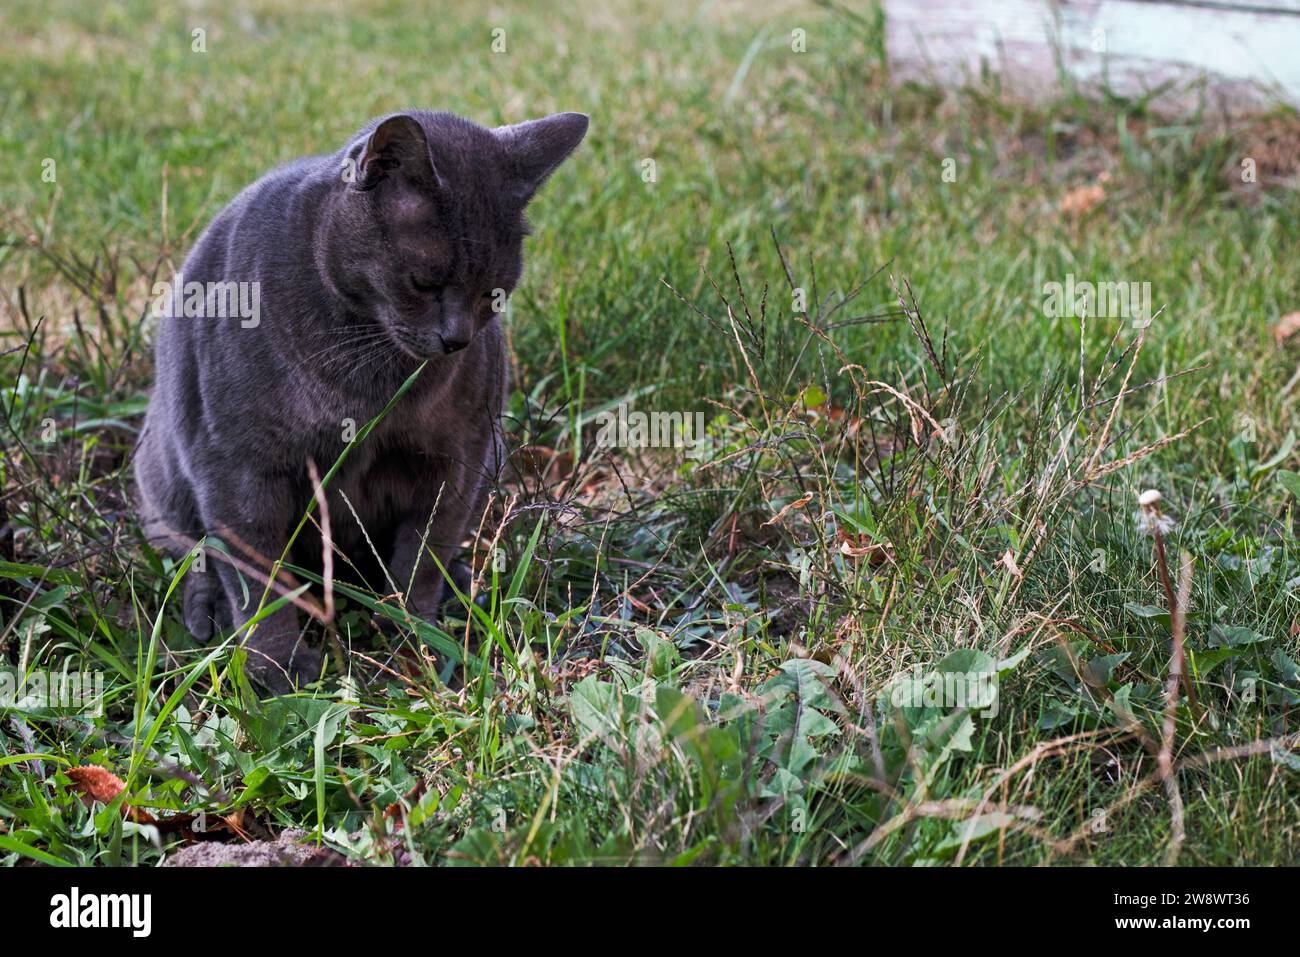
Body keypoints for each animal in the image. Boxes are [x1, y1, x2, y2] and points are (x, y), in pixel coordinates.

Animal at [131, 110, 590, 696]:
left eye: (495, 292)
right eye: (425, 281)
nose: (458, 339)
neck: (365, 372)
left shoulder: (459, 459)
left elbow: (424, 555)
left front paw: (416, 636)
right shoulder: (238, 468)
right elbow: (260, 582)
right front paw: (280, 670)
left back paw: (461, 588)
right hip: (167, 472)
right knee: (197, 555)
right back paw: (207, 612)